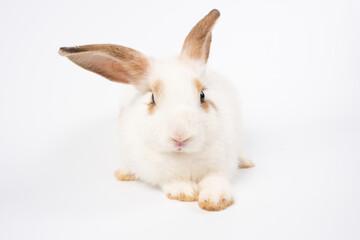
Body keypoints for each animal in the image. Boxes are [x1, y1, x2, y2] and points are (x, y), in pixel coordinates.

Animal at [58, 9, 253, 211]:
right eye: (152, 98)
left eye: (202, 95)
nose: (180, 135)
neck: (183, 156)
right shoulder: (161, 173)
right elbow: (174, 181)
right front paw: (184, 192)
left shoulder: (219, 166)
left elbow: (214, 180)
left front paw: (215, 200)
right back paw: (124, 173)